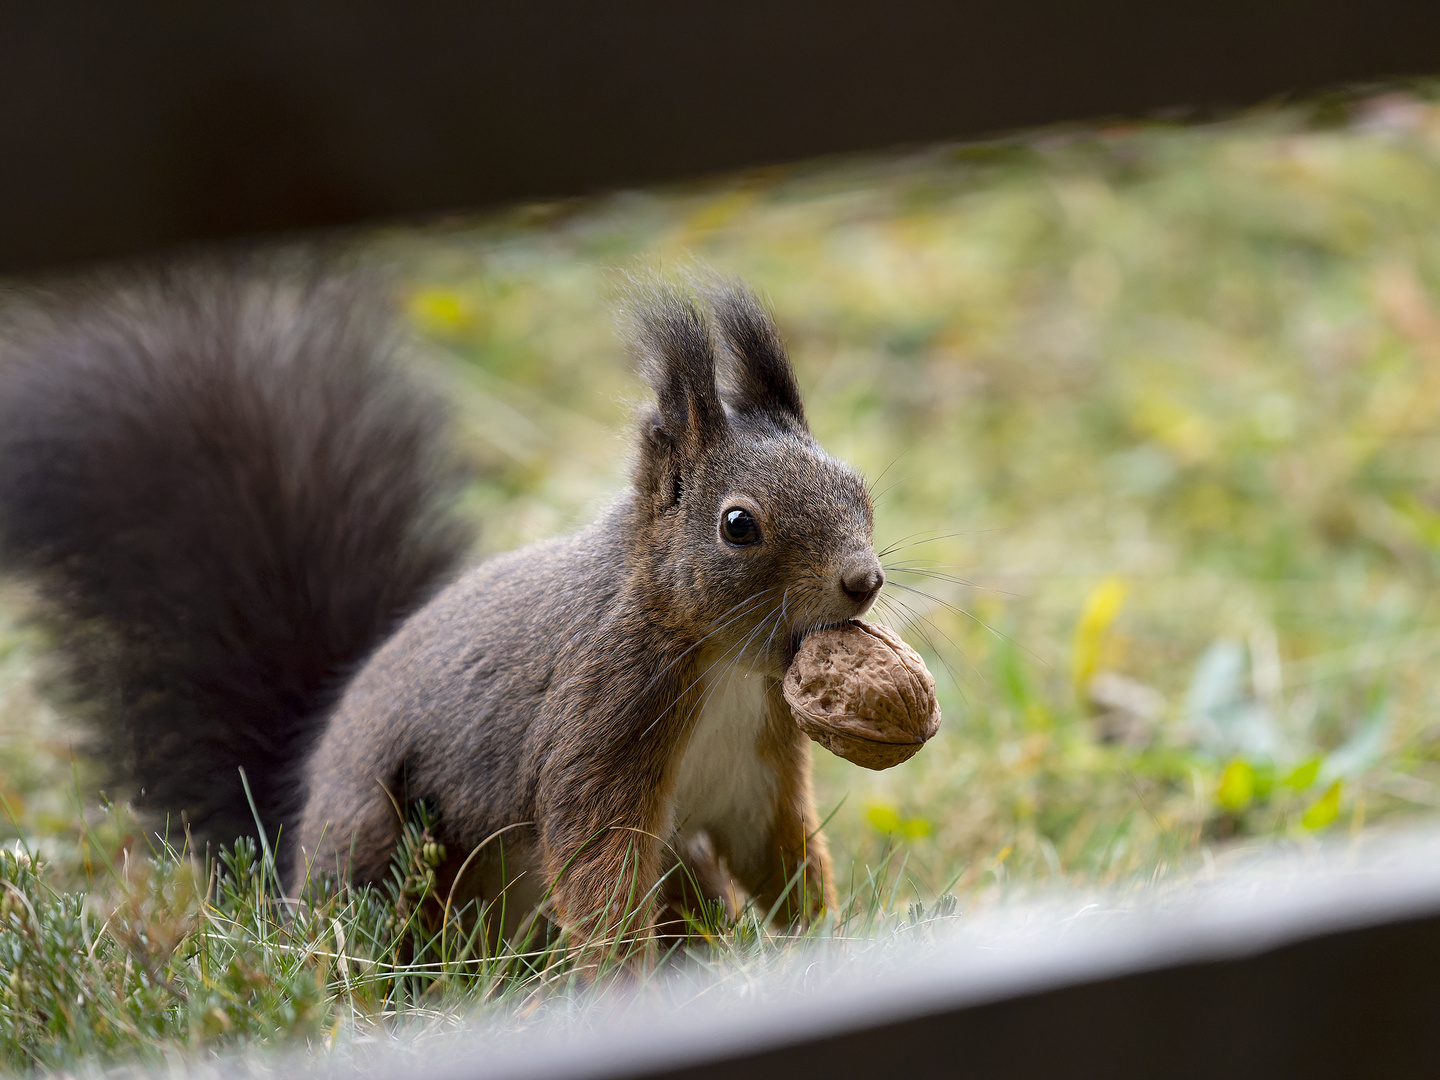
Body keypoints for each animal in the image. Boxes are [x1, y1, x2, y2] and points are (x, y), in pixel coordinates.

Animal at [0, 266, 881, 961]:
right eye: (738, 525)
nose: (864, 579)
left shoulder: (754, 775)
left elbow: (781, 860)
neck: (723, 663)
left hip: (677, 855)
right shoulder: (597, 725)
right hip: (374, 840)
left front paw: (830, 946)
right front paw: (622, 984)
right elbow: (597, 877)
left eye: (858, 486)